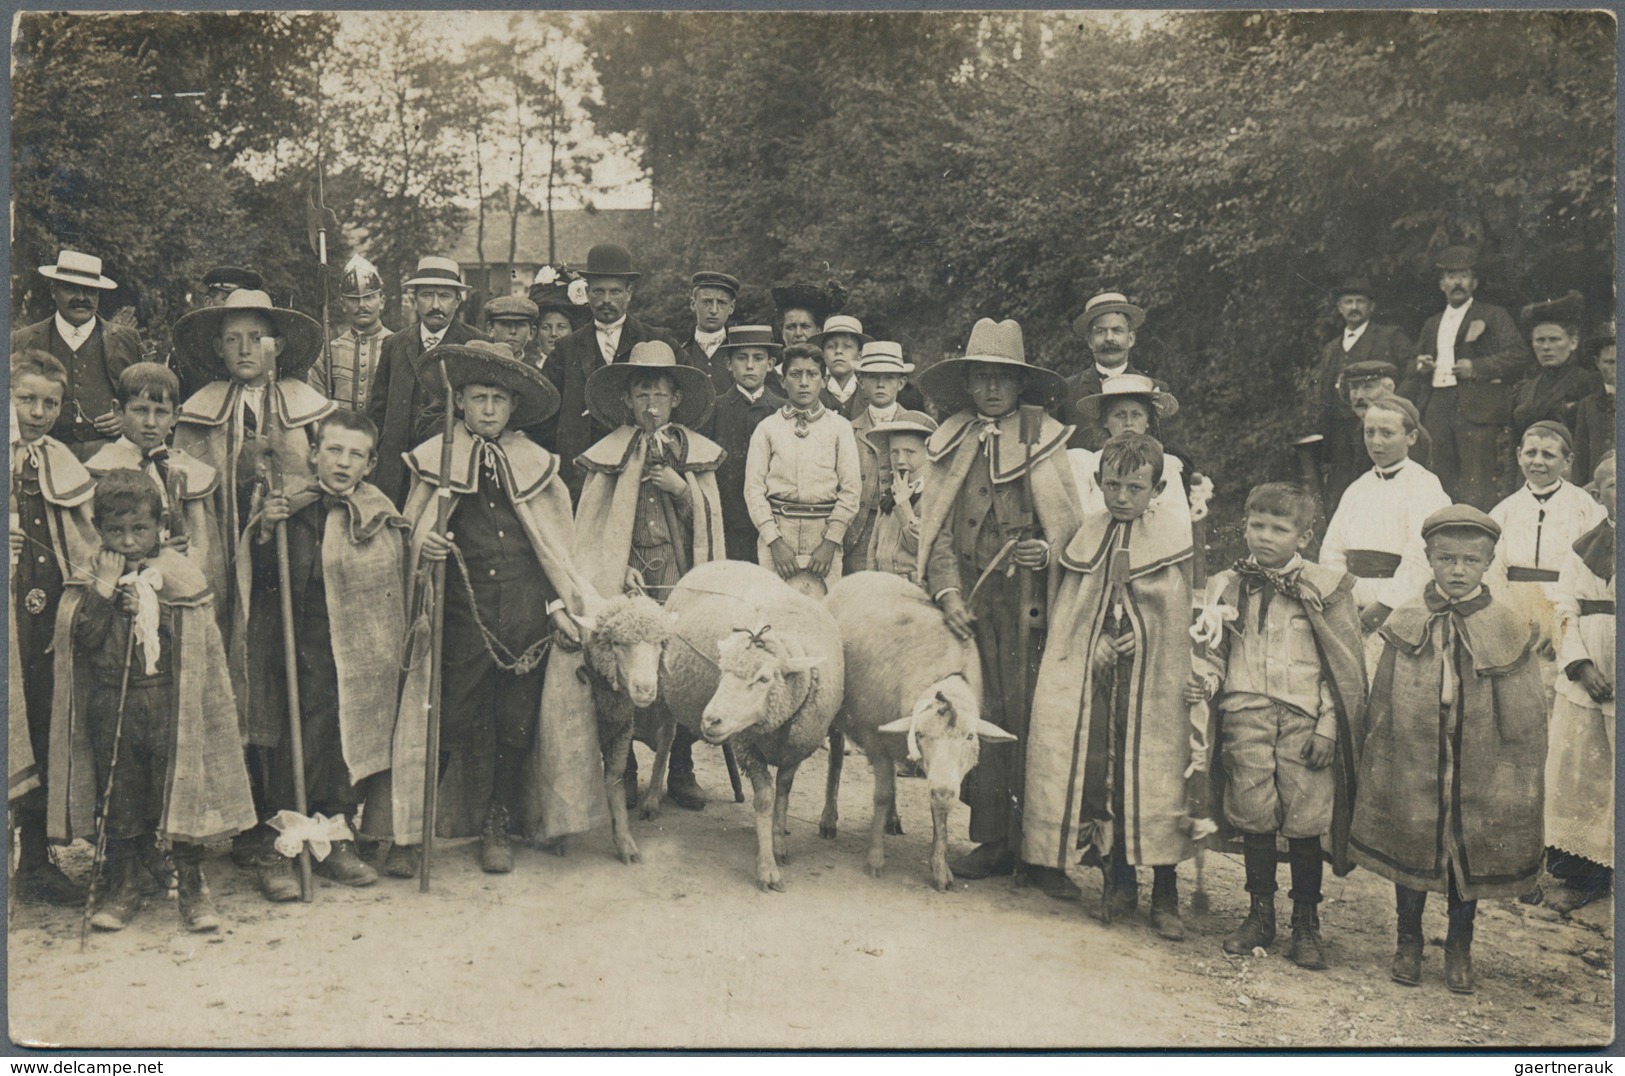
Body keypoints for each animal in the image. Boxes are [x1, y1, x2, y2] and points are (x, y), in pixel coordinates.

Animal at [659, 559, 845, 897]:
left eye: (763, 679)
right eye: (722, 672)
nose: (710, 720)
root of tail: (713, 562)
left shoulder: (795, 748)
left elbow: (783, 793)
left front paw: (779, 842)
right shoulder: (747, 748)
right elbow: (764, 800)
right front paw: (767, 868)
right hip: (667, 691)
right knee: (666, 739)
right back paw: (650, 801)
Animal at [825, 572, 1014, 890]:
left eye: (970, 737)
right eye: (922, 735)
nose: (944, 791)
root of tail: (862, 574)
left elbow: (938, 814)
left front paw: (940, 868)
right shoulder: (877, 740)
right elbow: (881, 795)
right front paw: (875, 859)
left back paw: (891, 819)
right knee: (836, 757)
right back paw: (829, 819)